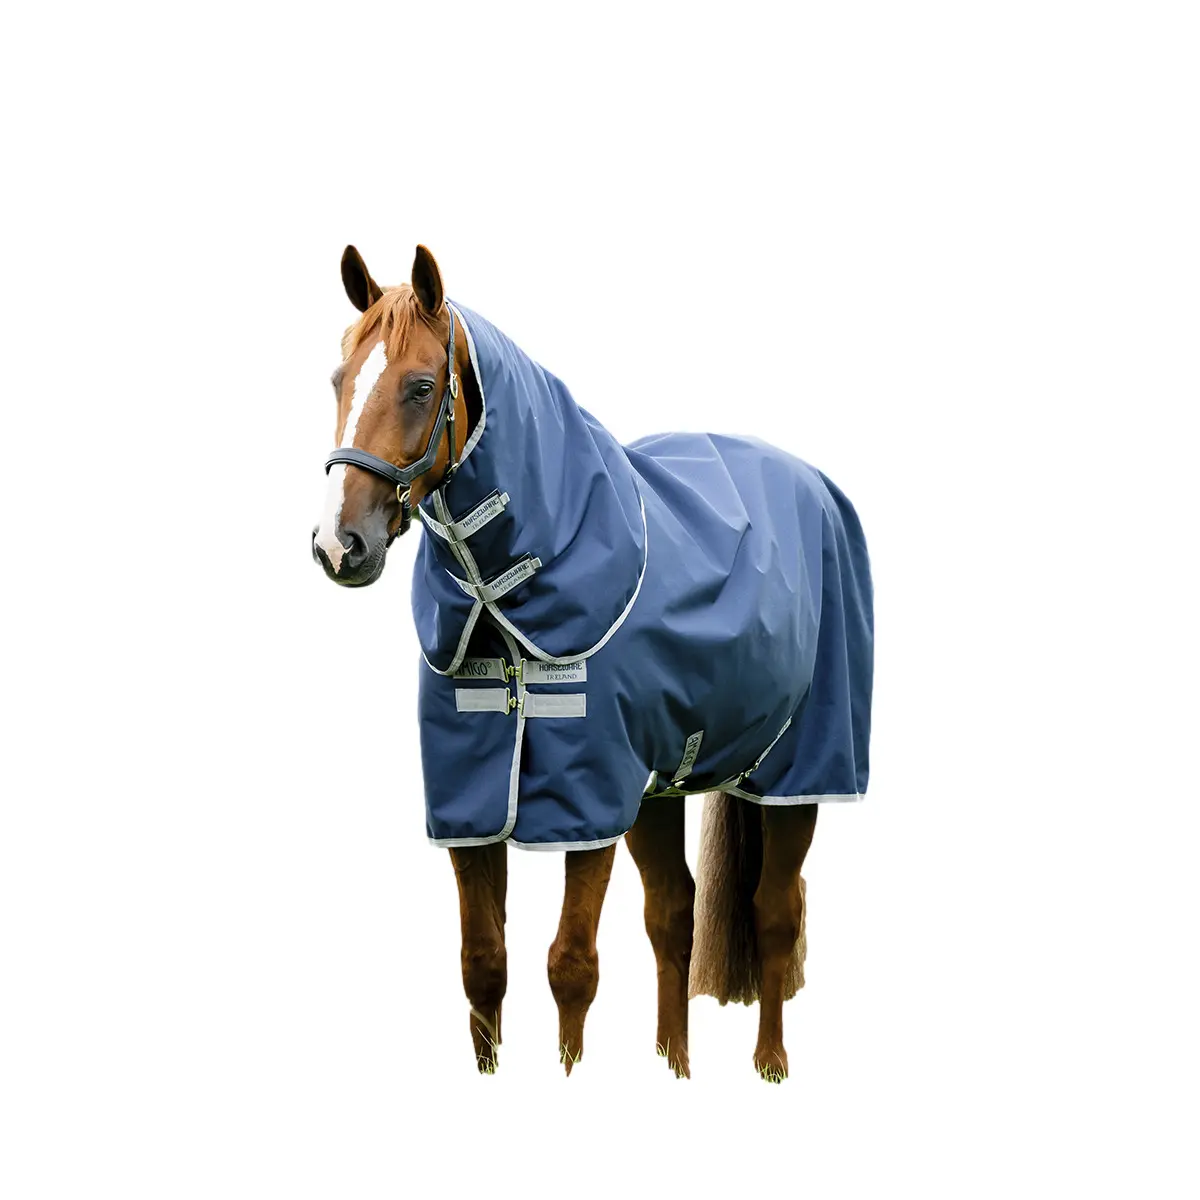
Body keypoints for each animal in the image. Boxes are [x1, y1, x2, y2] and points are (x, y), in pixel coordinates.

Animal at [312, 244, 874, 1080]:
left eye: (419, 386)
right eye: (337, 380)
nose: (338, 545)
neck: (506, 599)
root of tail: (816, 486)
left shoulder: (590, 801)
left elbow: (571, 965)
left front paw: (569, 1073)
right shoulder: (476, 801)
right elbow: (484, 964)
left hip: (798, 770)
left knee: (775, 911)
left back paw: (770, 1063)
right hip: (663, 785)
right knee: (675, 914)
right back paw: (674, 1066)